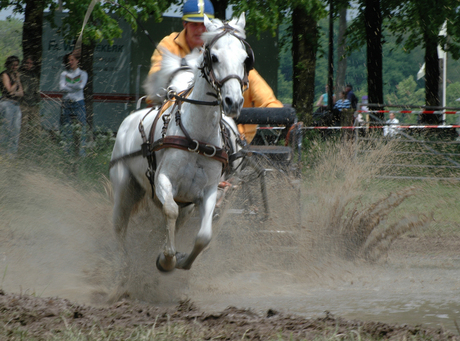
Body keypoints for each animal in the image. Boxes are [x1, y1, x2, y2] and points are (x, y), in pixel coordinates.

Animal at [109, 13, 250, 270]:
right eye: (214, 57)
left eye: (245, 59)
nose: (233, 101)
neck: (197, 138)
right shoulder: (163, 181)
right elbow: (170, 211)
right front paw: (166, 259)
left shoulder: (208, 191)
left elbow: (203, 236)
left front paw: (182, 261)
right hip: (124, 186)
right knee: (119, 225)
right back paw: (121, 263)